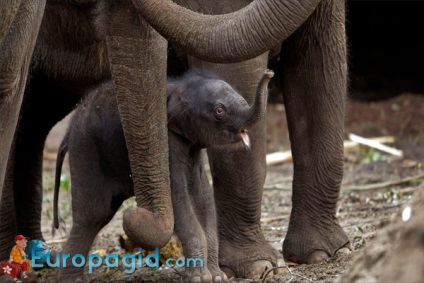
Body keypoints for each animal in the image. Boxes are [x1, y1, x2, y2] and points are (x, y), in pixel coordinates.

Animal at [53, 69, 274, 283]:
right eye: (219, 111)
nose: (269, 73)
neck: (177, 90)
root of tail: (69, 129)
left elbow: (202, 197)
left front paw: (217, 277)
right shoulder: (167, 145)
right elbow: (179, 200)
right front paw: (200, 278)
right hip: (85, 151)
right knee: (93, 215)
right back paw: (71, 280)